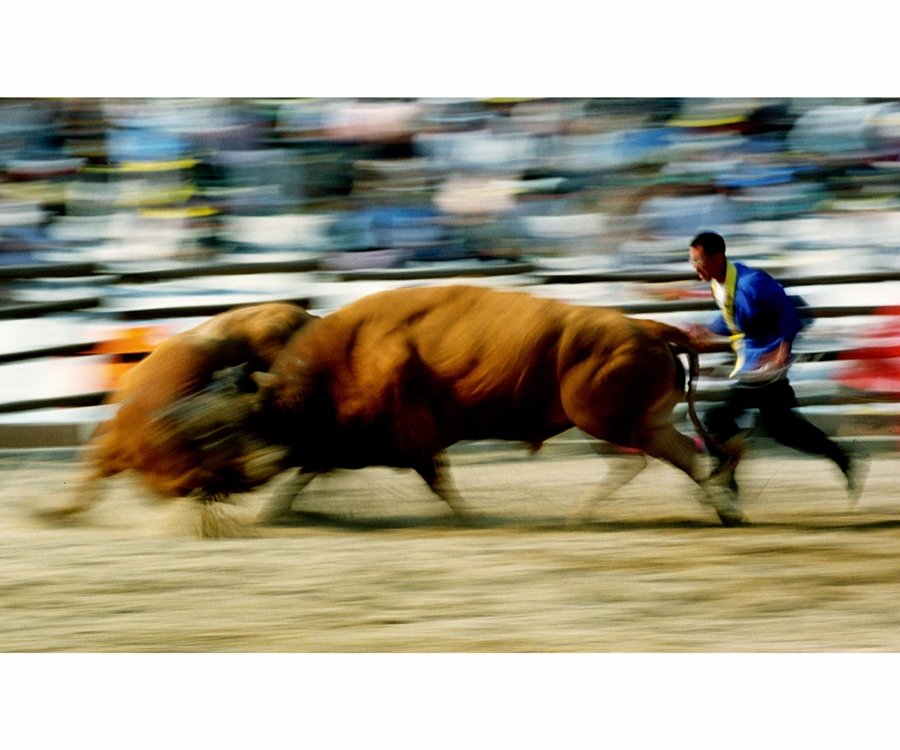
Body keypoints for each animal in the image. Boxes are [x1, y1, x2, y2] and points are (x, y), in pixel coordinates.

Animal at [47, 302, 316, 518]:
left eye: (260, 415)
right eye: (225, 430)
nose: (270, 458)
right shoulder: (115, 444)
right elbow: (91, 475)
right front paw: (58, 513)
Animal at [251, 284, 745, 526]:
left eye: (267, 418)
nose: (247, 471)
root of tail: (648, 326)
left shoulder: (406, 438)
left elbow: (437, 479)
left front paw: (470, 516)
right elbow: (311, 468)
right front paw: (272, 511)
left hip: (606, 421)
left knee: (653, 458)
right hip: (633, 422)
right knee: (677, 455)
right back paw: (723, 512)